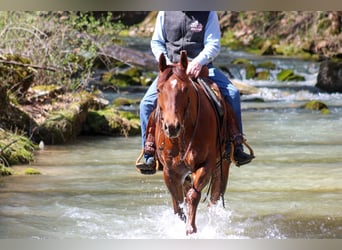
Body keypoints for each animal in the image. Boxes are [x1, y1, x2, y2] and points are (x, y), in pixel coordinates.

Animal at [154, 50, 231, 234]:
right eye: (159, 89)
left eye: (185, 89)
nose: (172, 127)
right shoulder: (170, 171)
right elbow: (177, 203)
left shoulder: (206, 165)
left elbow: (193, 196)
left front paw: (191, 229)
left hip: (222, 165)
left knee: (215, 196)